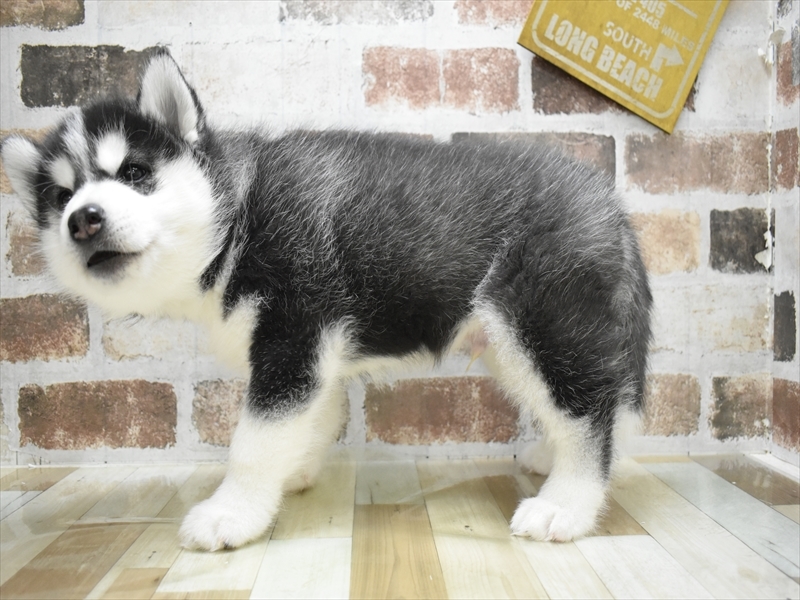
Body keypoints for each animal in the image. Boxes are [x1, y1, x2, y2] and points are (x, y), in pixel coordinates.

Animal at [1, 51, 652, 550]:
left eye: (135, 173)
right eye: (59, 197)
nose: (82, 219)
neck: (237, 222)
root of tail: (608, 201)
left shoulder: (294, 334)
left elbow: (253, 441)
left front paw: (231, 512)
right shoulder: (312, 353)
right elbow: (306, 420)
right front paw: (288, 476)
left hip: (540, 321)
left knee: (587, 415)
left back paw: (566, 503)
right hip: (512, 338)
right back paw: (551, 457)